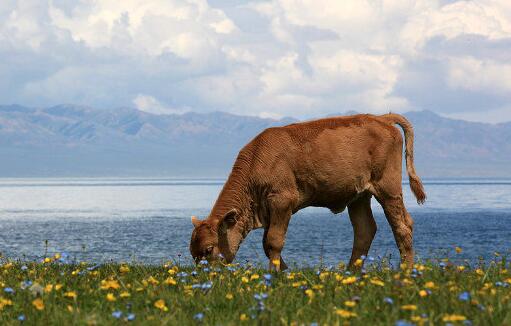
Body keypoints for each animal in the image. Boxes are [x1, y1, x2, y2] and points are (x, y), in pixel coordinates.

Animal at [190, 113, 426, 272]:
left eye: (209, 249)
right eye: (193, 252)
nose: (205, 279)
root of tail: (381, 117)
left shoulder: (282, 201)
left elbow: (273, 241)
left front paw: (274, 275)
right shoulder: (269, 209)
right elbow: (267, 244)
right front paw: (284, 272)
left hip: (388, 188)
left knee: (402, 225)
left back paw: (404, 272)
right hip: (359, 196)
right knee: (365, 229)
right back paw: (351, 273)